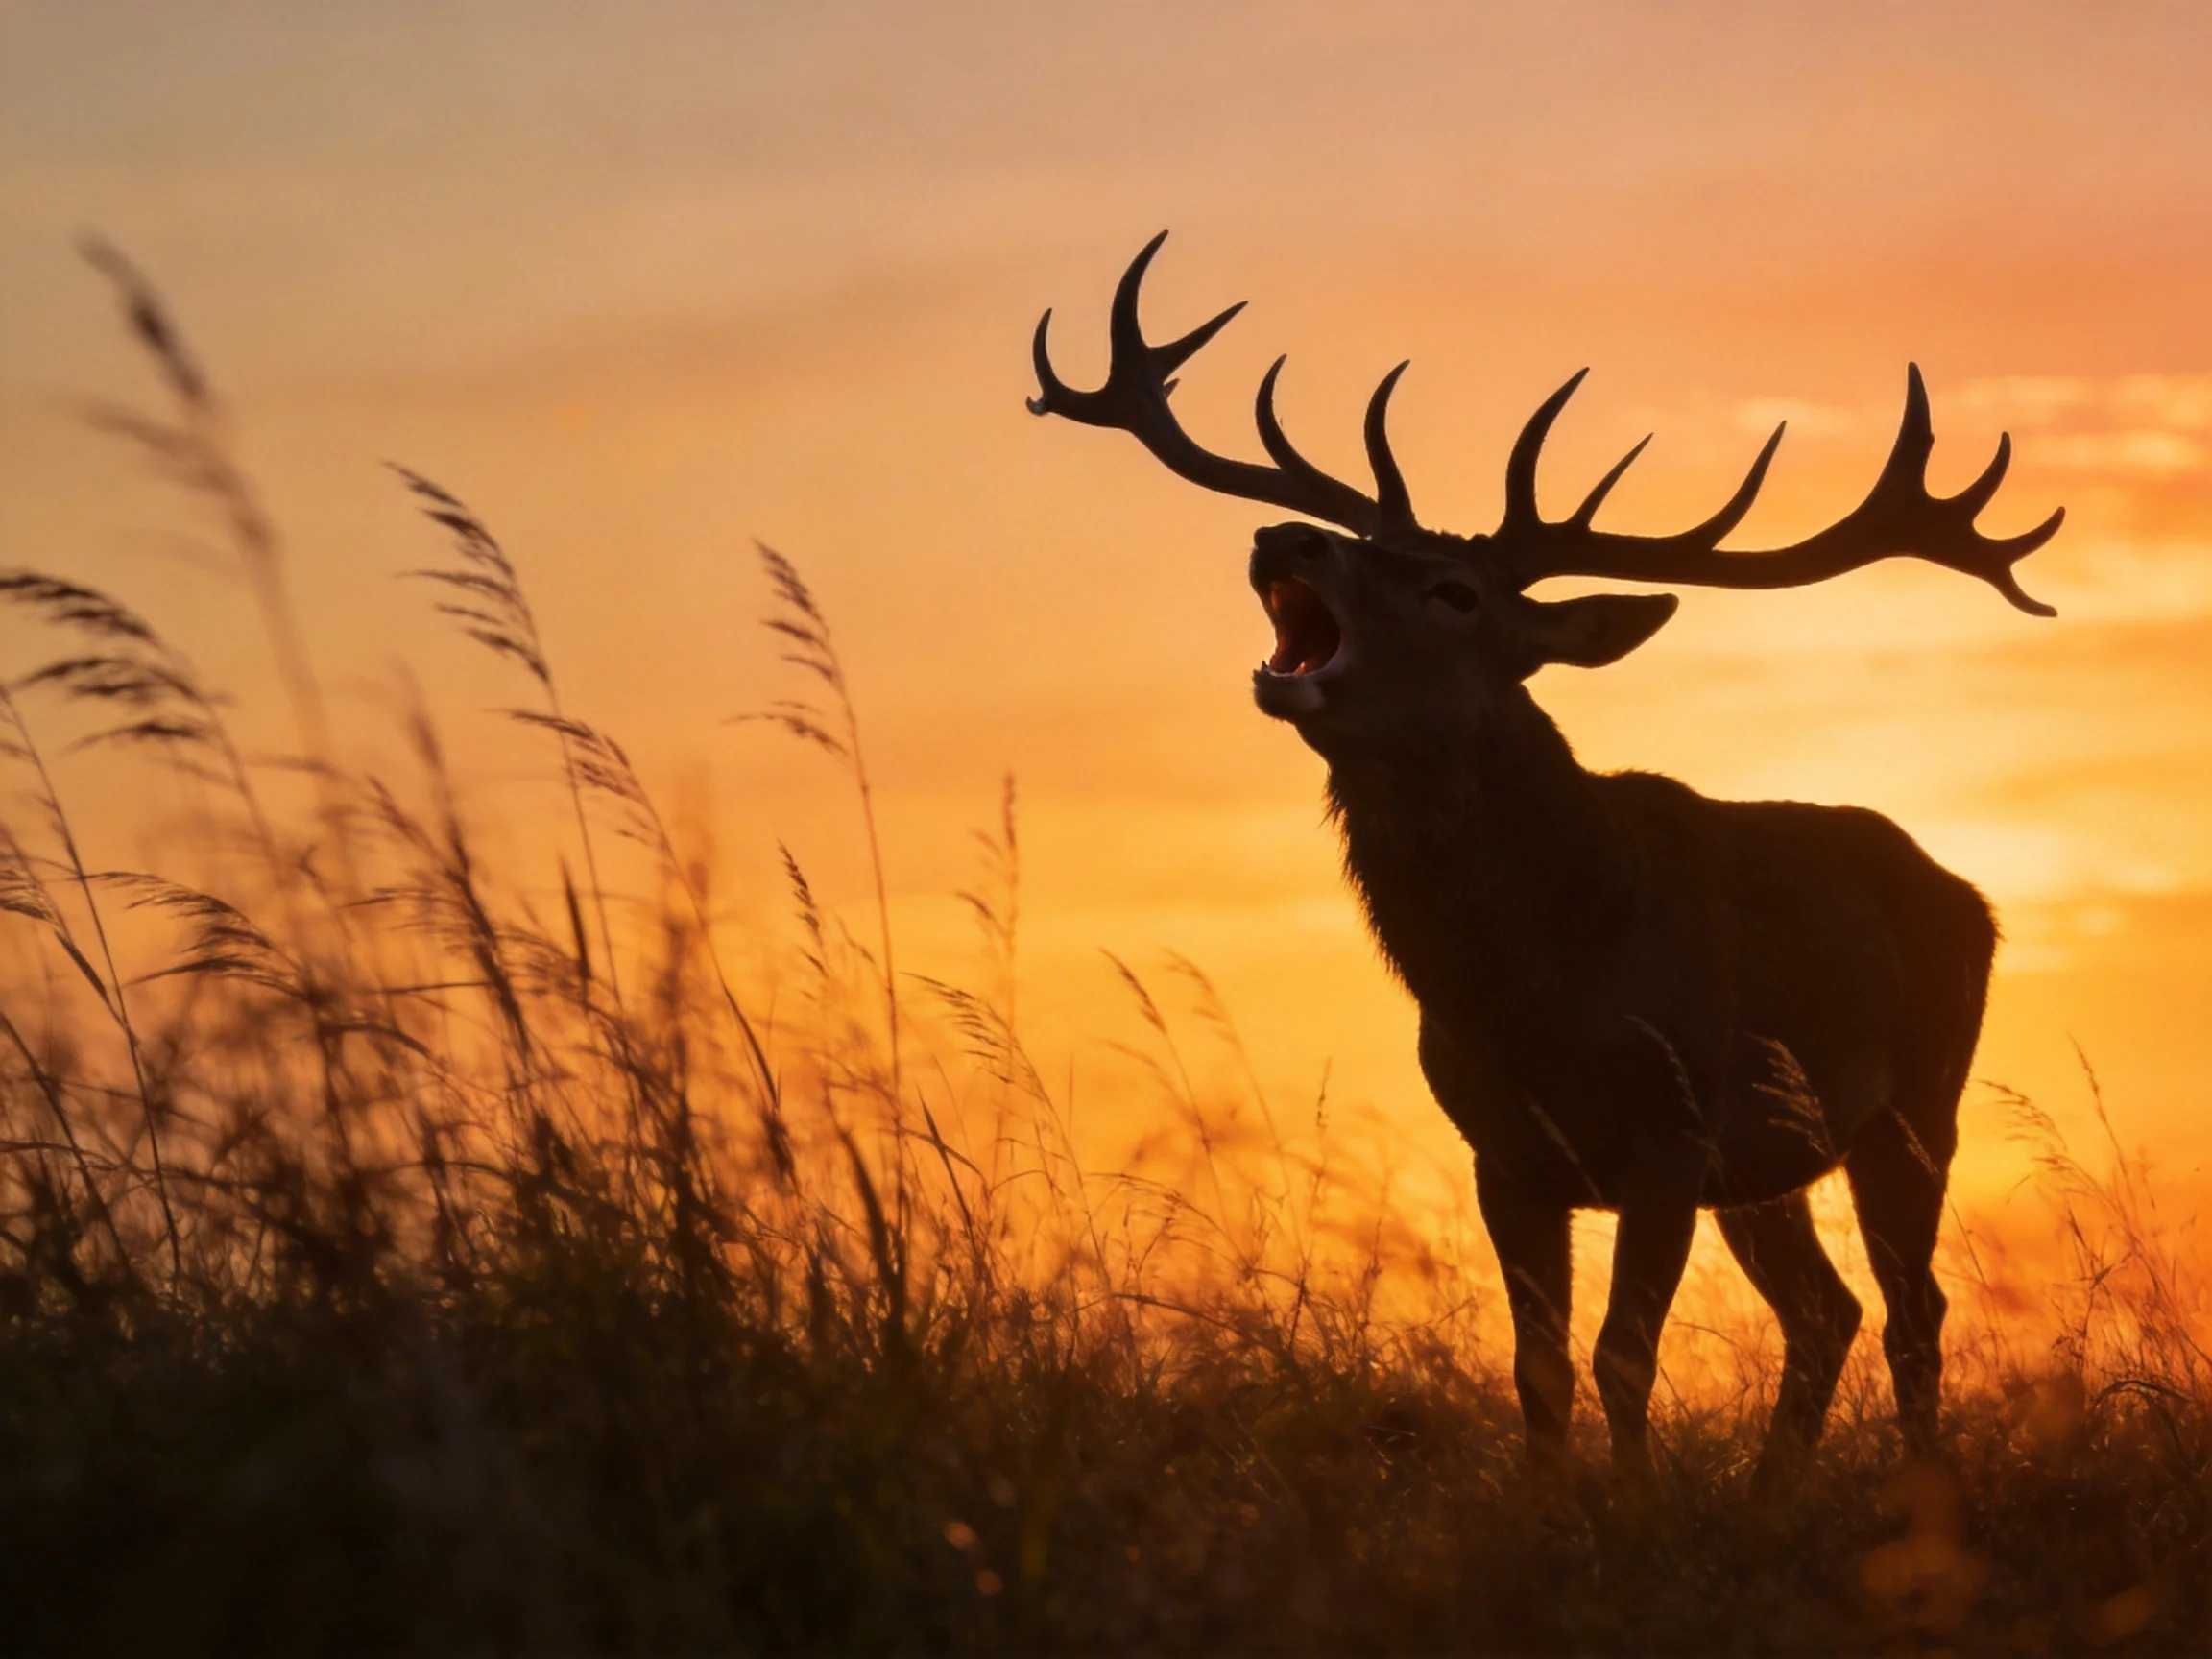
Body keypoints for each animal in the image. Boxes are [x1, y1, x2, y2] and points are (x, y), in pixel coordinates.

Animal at [1028, 233, 2062, 1500]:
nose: (1285, 536)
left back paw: (1916, 1492)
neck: (1534, 986)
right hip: (1768, 1164)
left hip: (1917, 1100)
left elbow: (1624, 1354)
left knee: (1915, 1310)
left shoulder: (1670, 1132)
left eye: (1454, 590)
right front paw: (1557, 1505)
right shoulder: (1505, 1151)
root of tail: (1970, 899)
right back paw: (1775, 1491)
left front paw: (1637, 1515)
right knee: (1828, 1310)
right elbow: (1541, 1368)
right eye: (1365, 546)